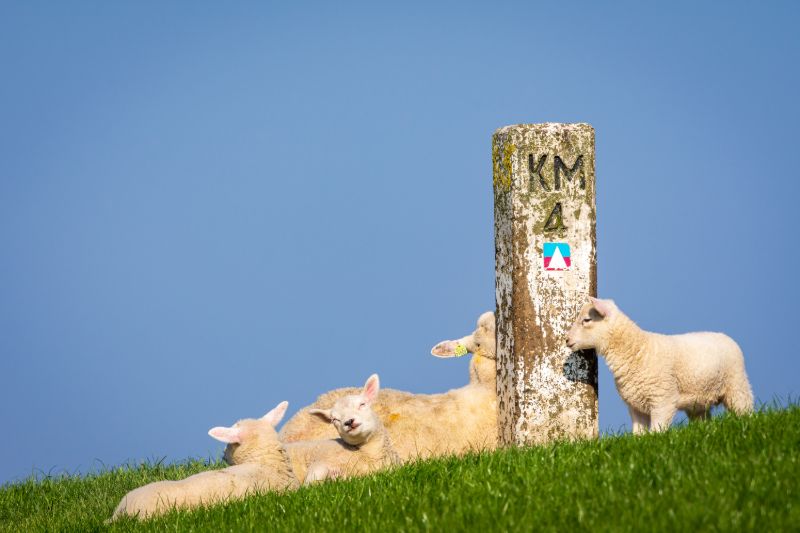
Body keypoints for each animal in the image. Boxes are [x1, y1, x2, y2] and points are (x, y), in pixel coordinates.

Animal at [564, 296, 752, 432]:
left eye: (587, 320)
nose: (567, 339)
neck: (637, 350)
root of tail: (724, 336)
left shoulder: (663, 401)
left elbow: (657, 432)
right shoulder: (635, 406)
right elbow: (638, 434)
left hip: (736, 385)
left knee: (745, 408)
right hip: (698, 399)